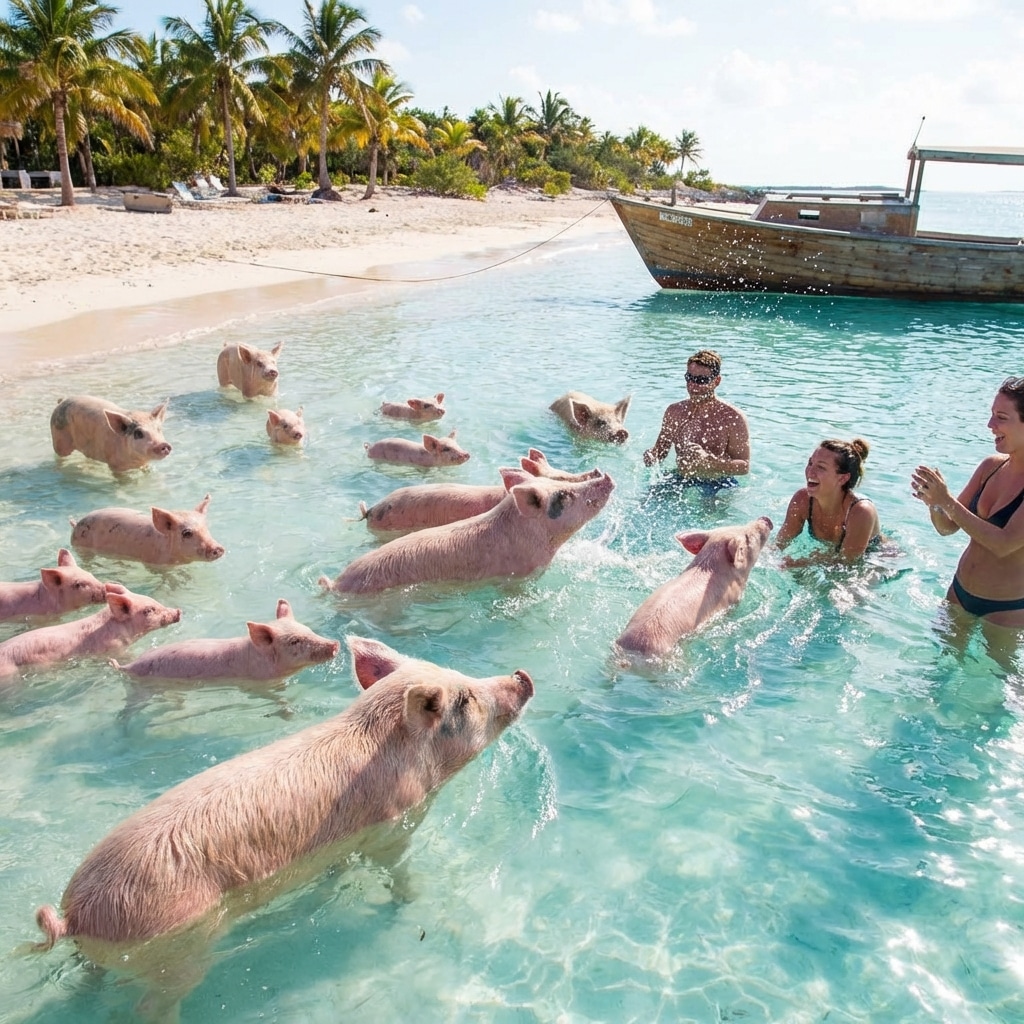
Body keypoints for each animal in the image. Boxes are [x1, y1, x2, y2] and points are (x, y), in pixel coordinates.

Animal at [33, 636, 533, 1015]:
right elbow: (396, 869)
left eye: (461, 677)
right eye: (465, 700)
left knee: (89, 977)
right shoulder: (394, 824)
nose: (522, 677)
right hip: (175, 952)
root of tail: (75, 914)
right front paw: (410, 902)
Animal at [70, 494, 225, 566]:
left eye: (206, 527)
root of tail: (76, 524)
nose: (218, 548)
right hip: (82, 546)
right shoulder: (154, 563)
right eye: (187, 533)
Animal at [615, 517, 773, 658]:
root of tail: (633, 647)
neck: (709, 566)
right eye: (747, 537)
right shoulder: (732, 599)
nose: (765, 519)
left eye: (740, 525)